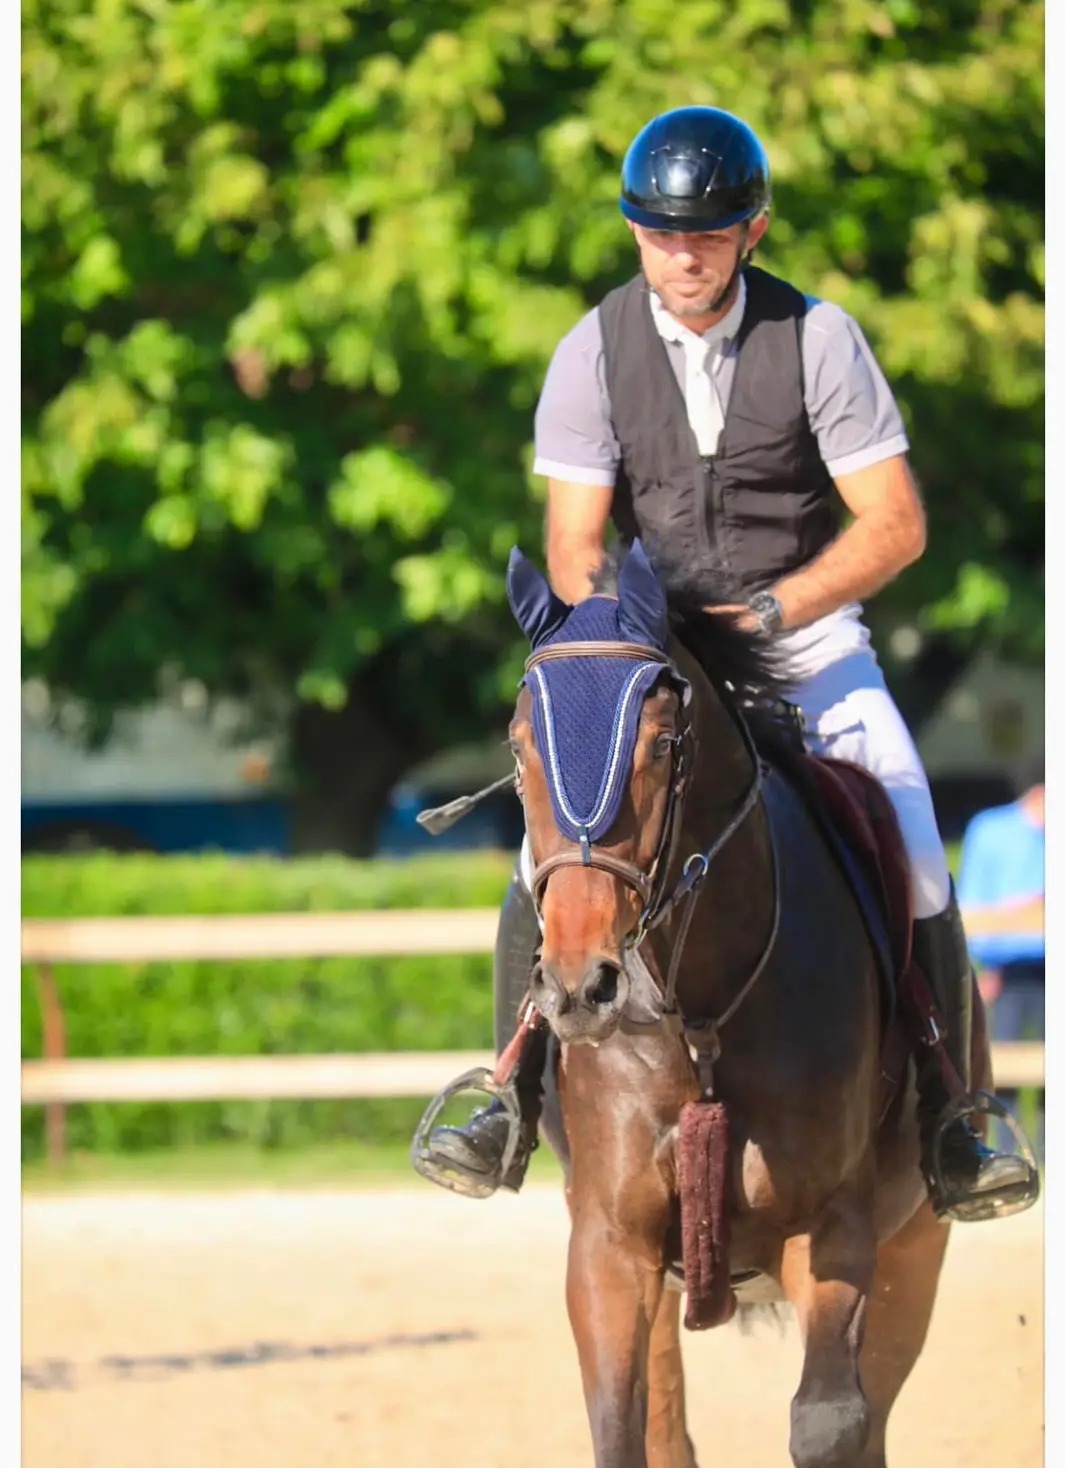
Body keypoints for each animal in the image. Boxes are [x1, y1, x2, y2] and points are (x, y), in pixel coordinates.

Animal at [502, 539, 991, 1468]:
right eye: (518, 750)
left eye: (662, 744)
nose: (580, 986)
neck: (700, 1011)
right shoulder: (610, 1244)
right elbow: (622, 1428)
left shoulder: (833, 1228)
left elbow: (828, 1425)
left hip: (915, 1249)